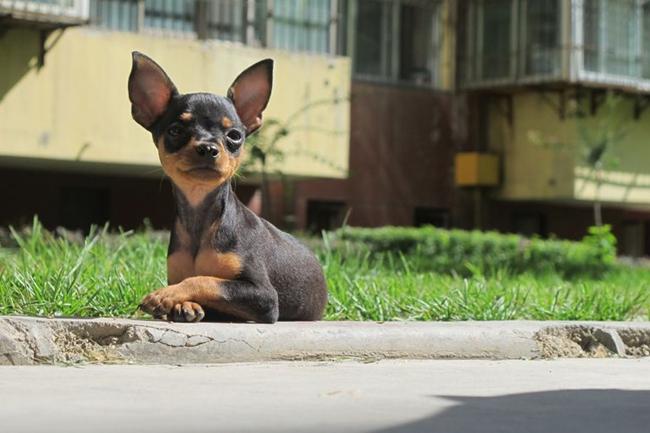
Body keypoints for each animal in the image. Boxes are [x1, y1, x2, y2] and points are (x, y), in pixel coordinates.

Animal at [128, 52, 326, 322]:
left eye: (234, 135)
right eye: (175, 130)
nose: (208, 148)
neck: (200, 218)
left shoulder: (264, 296)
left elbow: (206, 280)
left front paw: (165, 296)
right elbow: (196, 280)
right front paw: (185, 305)